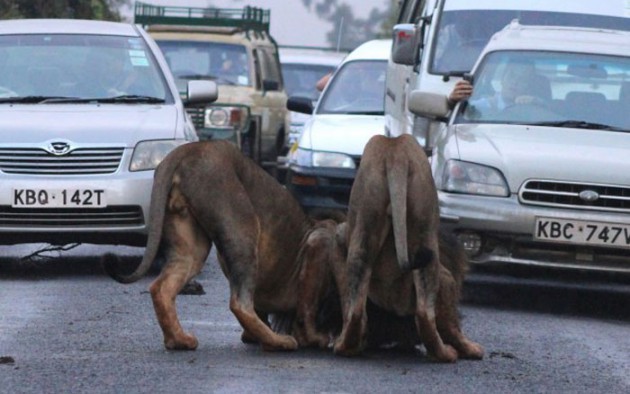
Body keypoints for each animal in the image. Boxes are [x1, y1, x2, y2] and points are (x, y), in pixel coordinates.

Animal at [103, 139, 326, 350]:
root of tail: (188, 150)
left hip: (191, 246)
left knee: (161, 287)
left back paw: (179, 340)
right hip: (242, 228)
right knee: (240, 303)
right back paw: (277, 342)